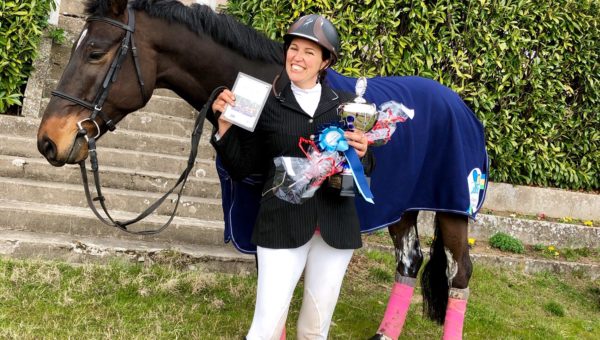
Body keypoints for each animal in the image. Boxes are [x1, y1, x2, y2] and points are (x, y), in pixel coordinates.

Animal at [36, 1, 488, 338]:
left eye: (95, 51)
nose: (48, 141)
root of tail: (459, 105)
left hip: (453, 208)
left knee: (460, 272)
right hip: (403, 208)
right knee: (409, 261)